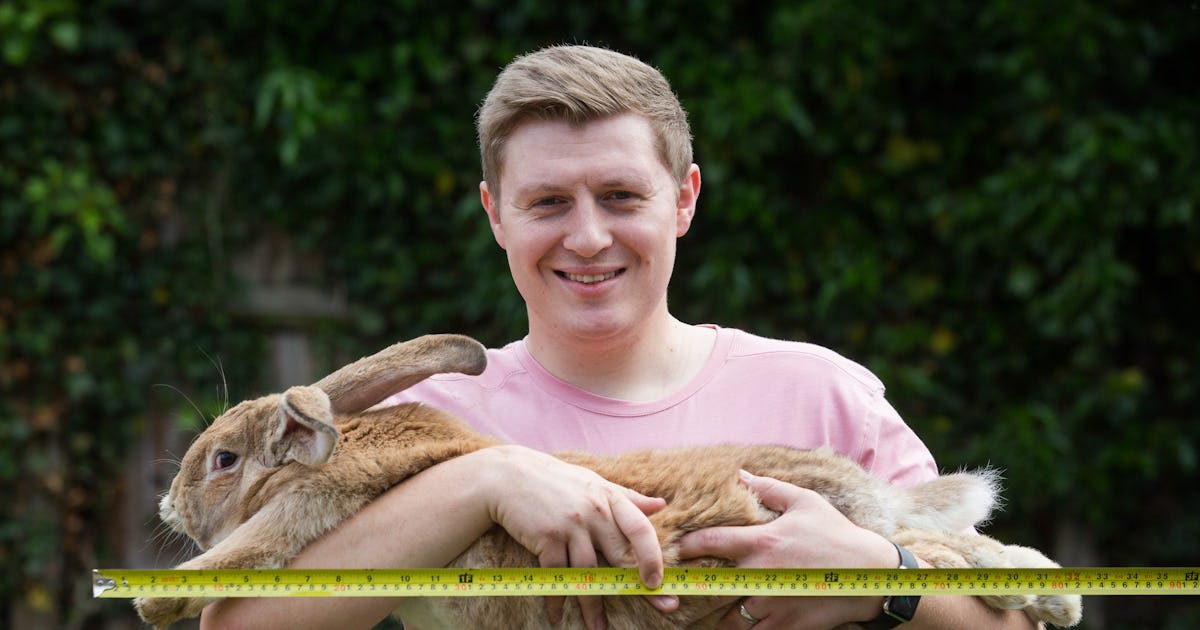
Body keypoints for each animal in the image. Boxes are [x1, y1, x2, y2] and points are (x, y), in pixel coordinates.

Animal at [135, 333, 1082, 629]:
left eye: (224, 460)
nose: (166, 502)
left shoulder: (303, 515)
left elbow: (233, 562)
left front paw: (152, 600)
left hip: (857, 532)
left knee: (940, 554)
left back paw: (1051, 595)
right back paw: (1057, 591)